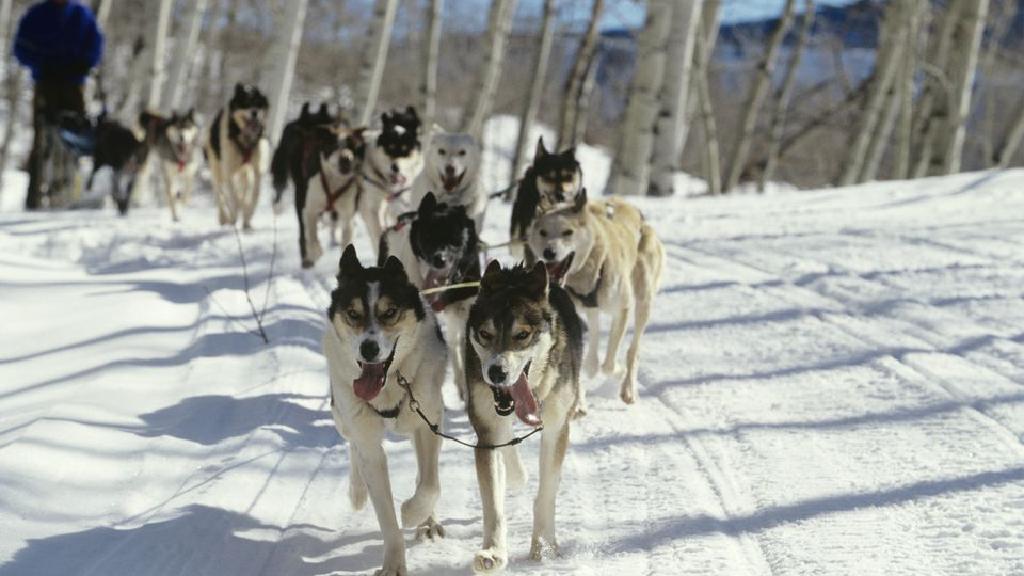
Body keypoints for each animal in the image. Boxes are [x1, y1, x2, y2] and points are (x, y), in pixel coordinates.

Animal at [202, 84, 268, 227]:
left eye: (258, 103)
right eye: (245, 103)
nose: (254, 112)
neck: (245, 139)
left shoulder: (256, 170)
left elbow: (253, 194)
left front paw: (247, 217)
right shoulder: (229, 171)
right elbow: (233, 197)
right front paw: (234, 215)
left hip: (244, 171)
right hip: (217, 172)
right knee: (220, 195)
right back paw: (225, 217)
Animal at [323, 241, 444, 573]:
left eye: (390, 312)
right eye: (353, 314)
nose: (369, 348)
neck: (390, 384)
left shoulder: (429, 422)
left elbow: (429, 485)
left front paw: (414, 514)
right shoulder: (368, 441)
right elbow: (386, 515)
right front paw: (393, 564)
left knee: (425, 474)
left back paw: (427, 521)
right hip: (342, 415)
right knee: (353, 445)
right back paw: (357, 490)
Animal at [466, 262, 585, 569]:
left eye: (522, 335)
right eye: (485, 334)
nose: (496, 372)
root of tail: (517, 271)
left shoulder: (556, 429)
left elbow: (547, 493)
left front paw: (544, 547)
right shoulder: (487, 434)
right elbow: (493, 503)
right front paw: (493, 551)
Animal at [528, 187, 663, 407]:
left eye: (567, 232)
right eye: (543, 232)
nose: (549, 252)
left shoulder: (622, 309)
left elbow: (609, 365)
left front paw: (617, 372)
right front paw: (579, 402)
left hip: (644, 300)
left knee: (632, 351)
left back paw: (628, 388)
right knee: (593, 336)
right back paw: (591, 366)